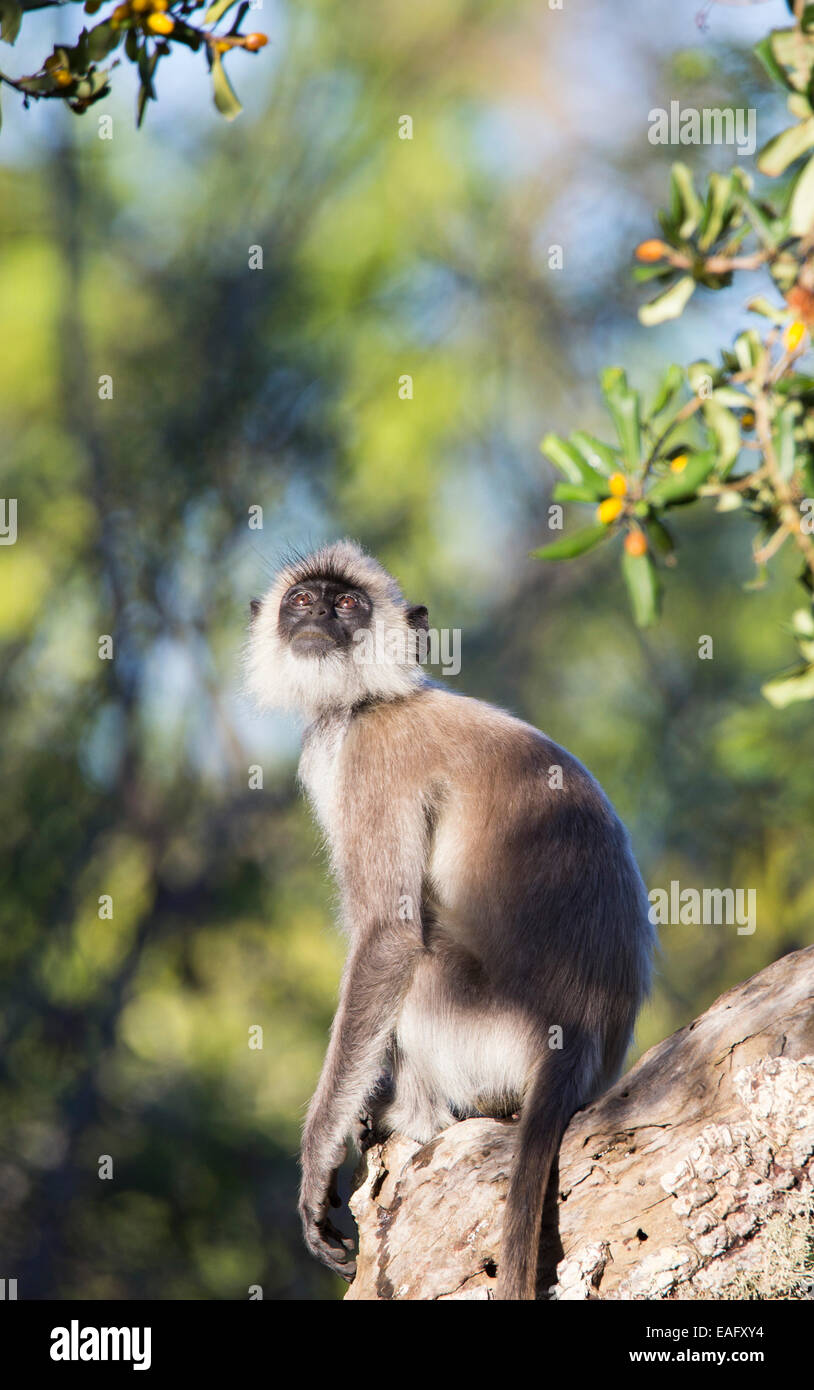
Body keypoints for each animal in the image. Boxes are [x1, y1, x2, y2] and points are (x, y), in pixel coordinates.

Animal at [243, 539, 652, 1301]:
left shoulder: (371, 753)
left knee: (424, 957)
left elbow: (389, 936)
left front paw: (319, 1154)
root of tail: (576, 1043)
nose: (317, 618)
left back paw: (407, 1114)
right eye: (301, 600)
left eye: (349, 603)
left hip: (486, 1031)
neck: (371, 699)